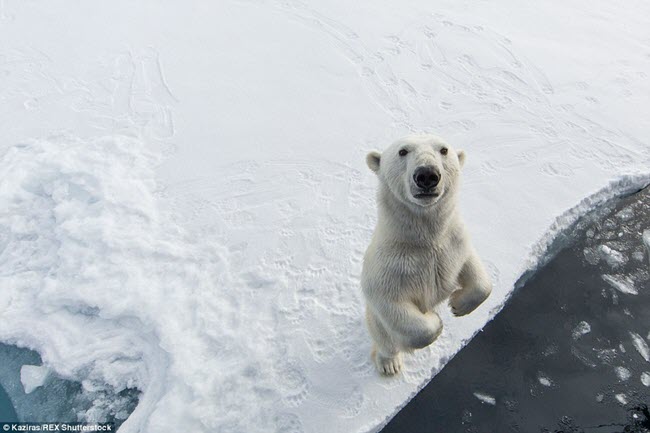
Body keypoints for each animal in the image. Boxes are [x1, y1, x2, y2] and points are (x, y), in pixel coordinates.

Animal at [360, 134, 492, 374]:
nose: (427, 175)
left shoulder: (453, 245)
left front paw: (457, 304)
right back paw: (389, 363)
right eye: (403, 151)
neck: (424, 240)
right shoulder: (388, 268)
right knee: (384, 336)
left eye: (444, 150)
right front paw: (434, 319)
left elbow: (477, 276)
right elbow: (392, 306)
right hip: (377, 321)